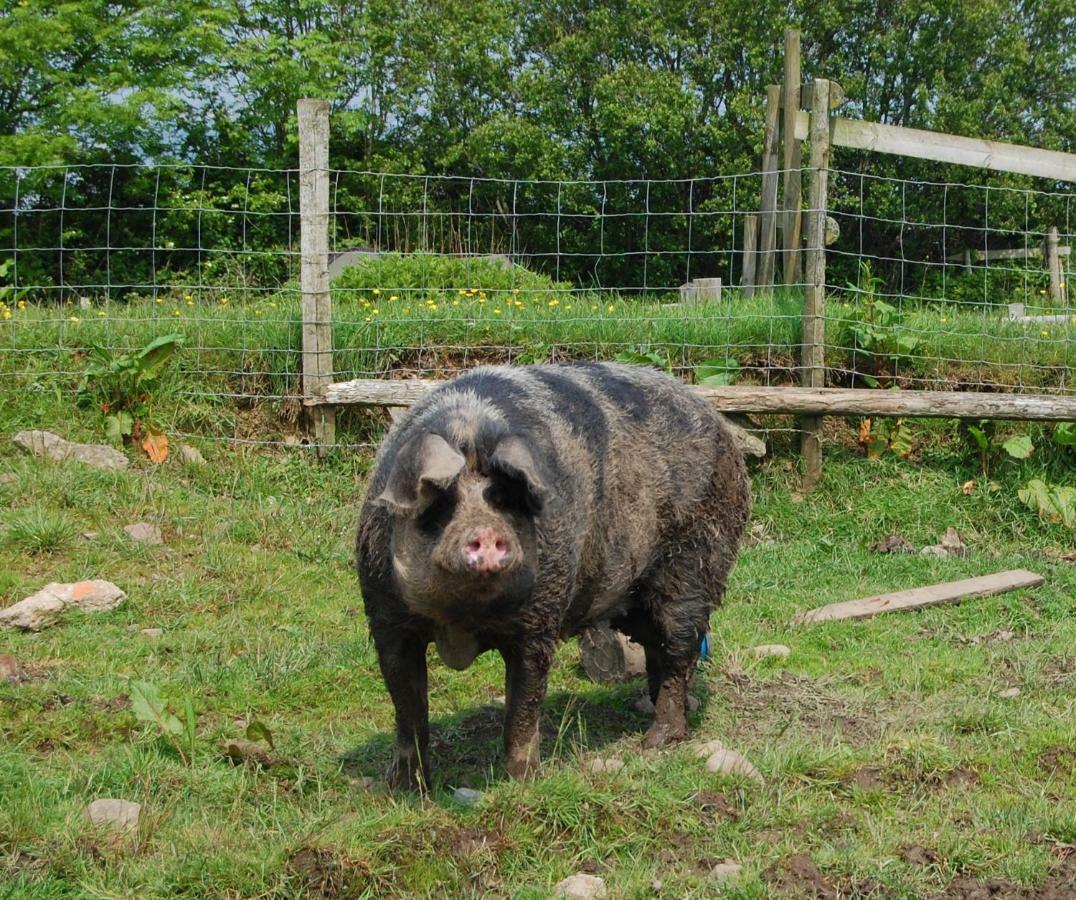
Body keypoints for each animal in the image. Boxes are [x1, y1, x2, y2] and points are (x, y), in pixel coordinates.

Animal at [355, 361, 748, 792]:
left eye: (503, 499)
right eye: (440, 503)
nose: (486, 531)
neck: (463, 619)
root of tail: (720, 425)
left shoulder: (539, 620)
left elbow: (525, 703)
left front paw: (522, 781)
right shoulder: (386, 618)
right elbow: (406, 706)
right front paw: (402, 787)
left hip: (696, 561)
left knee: (681, 645)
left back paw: (656, 740)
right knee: (655, 646)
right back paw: (648, 711)